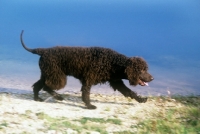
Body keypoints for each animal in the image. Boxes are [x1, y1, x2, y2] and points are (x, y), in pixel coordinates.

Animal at [19, 30, 153, 109]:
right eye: (141, 70)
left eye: (146, 69)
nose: (152, 78)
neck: (114, 63)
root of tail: (43, 51)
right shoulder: (88, 80)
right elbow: (86, 93)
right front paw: (89, 105)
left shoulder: (116, 82)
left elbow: (129, 92)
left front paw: (141, 99)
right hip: (57, 76)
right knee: (46, 86)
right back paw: (58, 97)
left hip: (49, 73)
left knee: (38, 85)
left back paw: (37, 98)